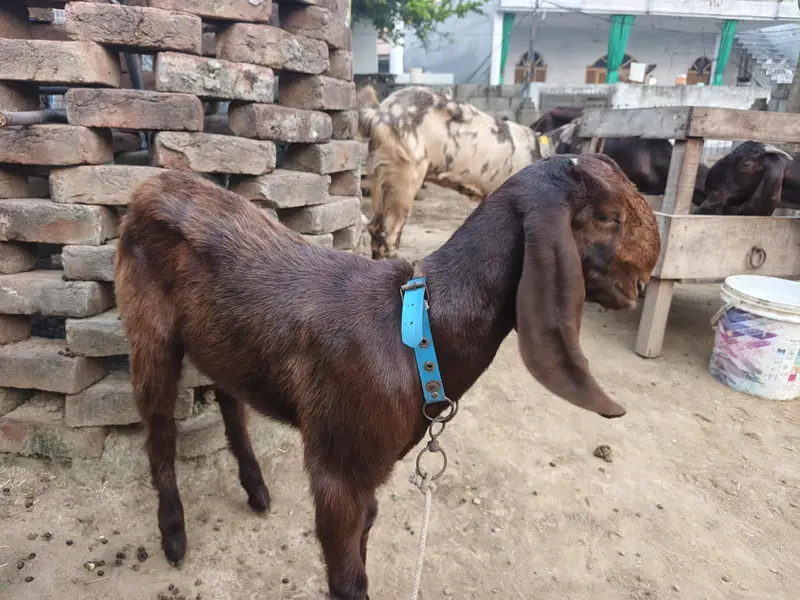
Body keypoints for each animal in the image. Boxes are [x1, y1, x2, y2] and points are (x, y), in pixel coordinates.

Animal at [114, 155, 660, 600]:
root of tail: (150, 185)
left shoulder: (373, 468)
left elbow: (369, 528)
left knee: (229, 398)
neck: (415, 331)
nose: (641, 283)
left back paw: (256, 490)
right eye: (606, 216)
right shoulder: (338, 468)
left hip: (223, 341)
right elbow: (348, 580)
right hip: (148, 331)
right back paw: (174, 536)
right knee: (159, 431)